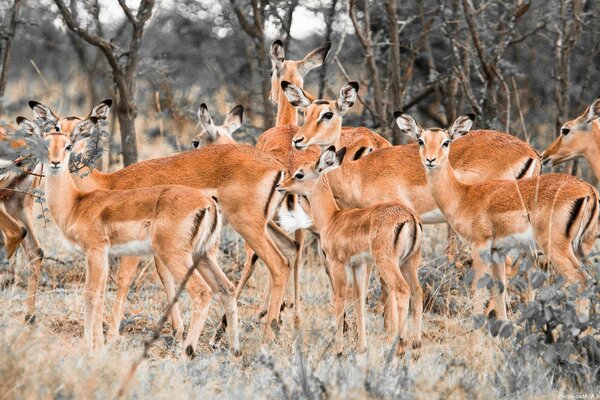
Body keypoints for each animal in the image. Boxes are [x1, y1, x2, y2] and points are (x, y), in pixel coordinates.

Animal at [276, 146, 422, 354]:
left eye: (300, 174)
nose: (280, 185)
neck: (332, 218)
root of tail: (409, 217)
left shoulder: (338, 265)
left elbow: (339, 298)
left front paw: (338, 350)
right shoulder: (358, 266)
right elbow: (359, 299)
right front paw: (362, 347)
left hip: (387, 263)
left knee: (403, 290)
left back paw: (401, 344)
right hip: (409, 262)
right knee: (417, 292)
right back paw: (417, 346)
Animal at [396, 112, 596, 318]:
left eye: (446, 142)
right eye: (421, 140)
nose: (430, 160)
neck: (462, 195)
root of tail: (587, 189)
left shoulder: (480, 246)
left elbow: (478, 288)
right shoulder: (498, 251)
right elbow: (499, 289)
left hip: (555, 248)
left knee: (581, 280)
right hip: (580, 248)